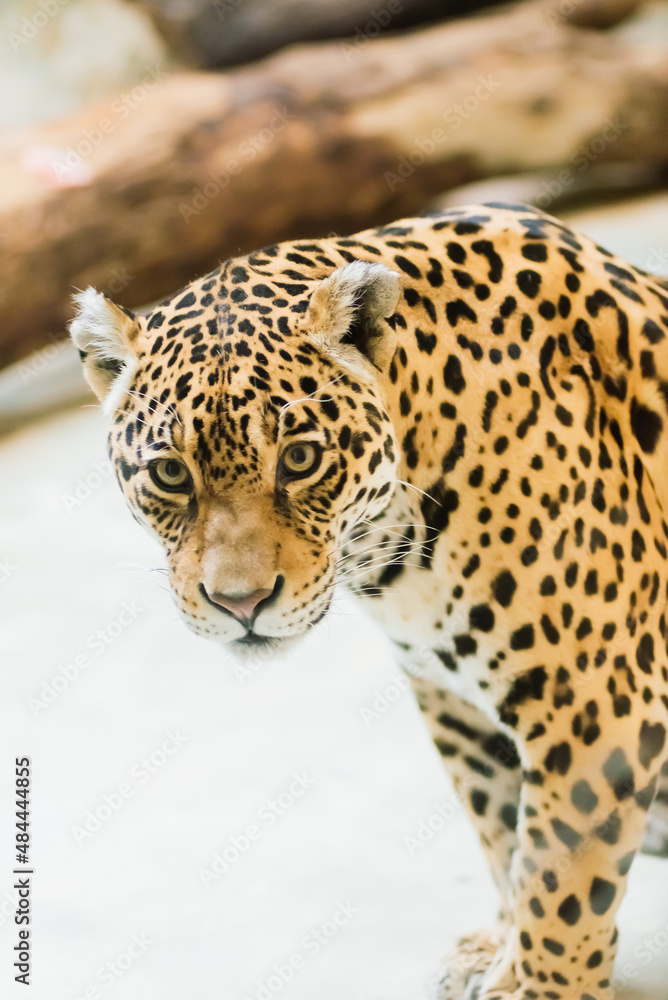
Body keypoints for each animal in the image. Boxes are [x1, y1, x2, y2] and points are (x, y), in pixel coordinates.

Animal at [70, 202, 668, 1000]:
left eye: (300, 459)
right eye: (169, 473)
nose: (240, 603)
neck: (396, 550)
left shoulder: (592, 699)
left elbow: (560, 883)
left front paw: (542, 985)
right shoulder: (447, 693)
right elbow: (501, 835)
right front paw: (499, 951)